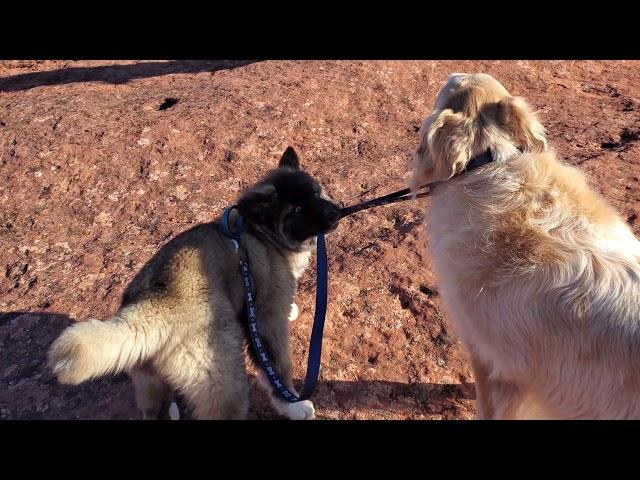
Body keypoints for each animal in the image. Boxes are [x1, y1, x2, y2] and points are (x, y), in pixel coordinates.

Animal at [47, 147, 342, 420]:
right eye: (297, 210)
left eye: (316, 194)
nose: (336, 213)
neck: (261, 234)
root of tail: (150, 308)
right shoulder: (268, 322)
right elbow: (277, 372)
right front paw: (295, 406)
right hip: (225, 384)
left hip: (150, 381)